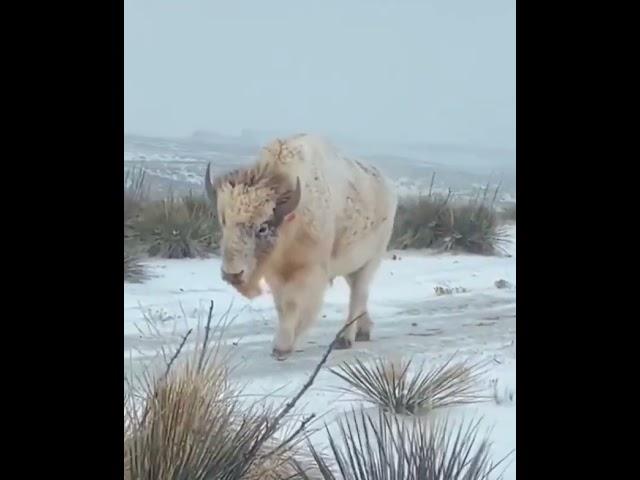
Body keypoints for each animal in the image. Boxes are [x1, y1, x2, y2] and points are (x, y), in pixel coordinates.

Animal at [205, 135, 396, 360]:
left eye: (262, 227)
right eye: (224, 221)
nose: (232, 274)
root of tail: (388, 186)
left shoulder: (308, 271)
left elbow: (293, 304)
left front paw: (283, 346)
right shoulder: (277, 274)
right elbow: (281, 306)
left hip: (371, 261)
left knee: (358, 294)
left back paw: (345, 338)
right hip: (351, 266)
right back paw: (364, 331)